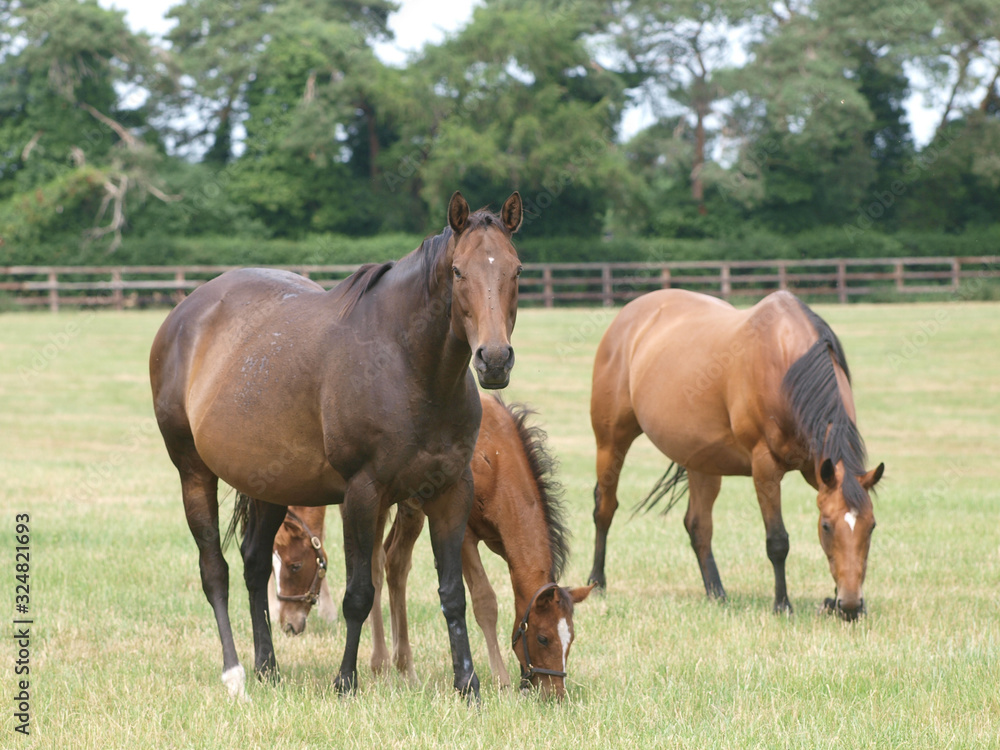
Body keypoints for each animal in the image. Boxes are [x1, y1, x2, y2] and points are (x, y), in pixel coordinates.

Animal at [150, 192, 524, 700]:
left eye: (516, 269)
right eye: (458, 271)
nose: (495, 359)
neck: (407, 365)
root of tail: (182, 315)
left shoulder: (451, 492)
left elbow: (452, 592)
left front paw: (468, 685)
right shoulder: (363, 494)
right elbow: (360, 594)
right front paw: (346, 680)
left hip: (270, 485)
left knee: (254, 565)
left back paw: (268, 666)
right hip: (193, 473)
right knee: (215, 572)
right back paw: (235, 674)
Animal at [270, 396, 588, 704]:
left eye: (571, 639)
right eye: (543, 638)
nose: (555, 694)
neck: (495, 459)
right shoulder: (463, 535)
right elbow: (485, 600)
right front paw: (502, 680)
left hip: (410, 511)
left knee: (395, 563)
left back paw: (404, 667)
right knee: (376, 565)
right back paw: (381, 663)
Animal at [584, 290, 884, 620]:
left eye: (872, 526)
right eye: (826, 526)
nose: (852, 606)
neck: (787, 364)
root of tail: (627, 316)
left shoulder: (816, 469)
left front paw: (832, 600)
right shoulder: (765, 466)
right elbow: (777, 541)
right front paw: (782, 605)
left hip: (700, 461)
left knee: (698, 525)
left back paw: (716, 593)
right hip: (611, 442)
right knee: (604, 508)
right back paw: (597, 582)